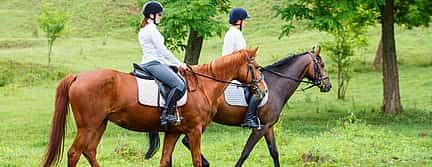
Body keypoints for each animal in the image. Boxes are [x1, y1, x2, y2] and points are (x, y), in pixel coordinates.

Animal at [43, 48, 266, 167]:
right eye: (256, 67)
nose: (263, 91)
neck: (203, 86)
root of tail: (78, 76)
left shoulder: (174, 132)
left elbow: (165, 160)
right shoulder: (194, 131)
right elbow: (196, 161)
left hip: (100, 124)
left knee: (89, 151)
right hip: (88, 126)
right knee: (74, 153)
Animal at [170, 45, 332, 166]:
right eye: (322, 65)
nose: (328, 85)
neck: (275, 86)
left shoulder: (269, 127)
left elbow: (274, 152)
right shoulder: (260, 128)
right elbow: (245, 153)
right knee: (187, 141)